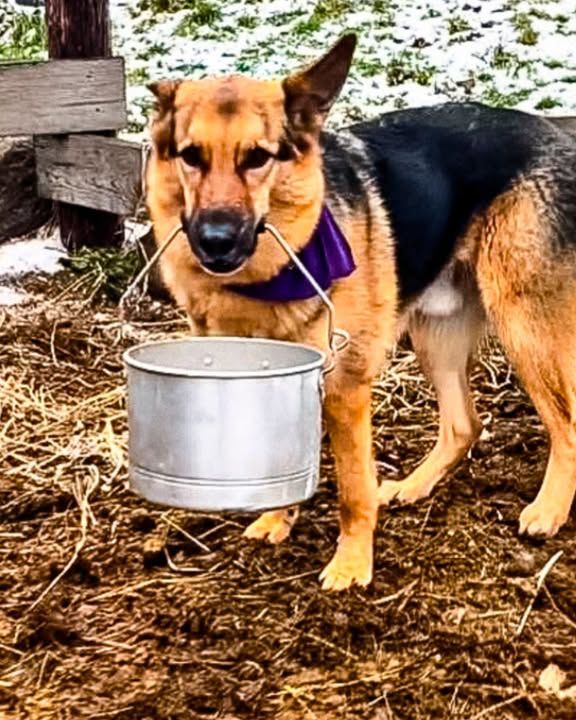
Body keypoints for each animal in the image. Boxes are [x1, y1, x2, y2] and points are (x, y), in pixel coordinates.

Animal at [146, 33, 576, 592]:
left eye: (258, 158)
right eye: (190, 157)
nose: (214, 241)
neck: (259, 281)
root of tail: (553, 131)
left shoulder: (346, 387)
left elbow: (353, 490)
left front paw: (351, 566)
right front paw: (276, 519)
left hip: (523, 326)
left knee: (566, 425)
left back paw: (549, 509)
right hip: (435, 336)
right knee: (464, 424)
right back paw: (414, 486)